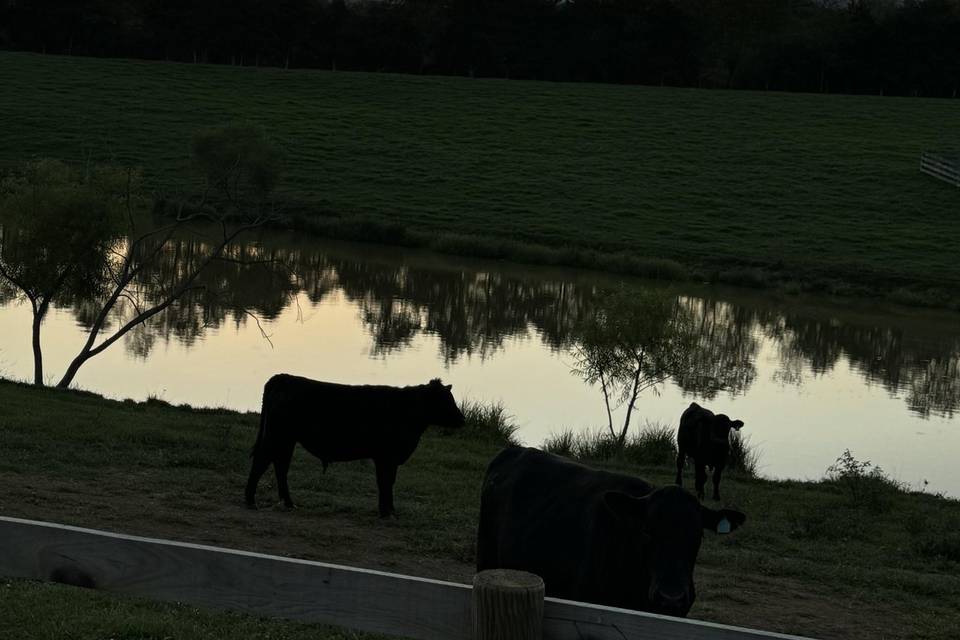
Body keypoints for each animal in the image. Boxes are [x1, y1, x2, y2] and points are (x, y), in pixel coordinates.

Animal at [244, 376, 462, 516]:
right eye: (446, 401)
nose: (462, 418)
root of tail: (283, 377)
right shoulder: (385, 457)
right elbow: (385, 482)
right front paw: (386, 511)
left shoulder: (389, 458)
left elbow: (388, 482)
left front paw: (389, 509)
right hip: (277, 436)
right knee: (262, 462)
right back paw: (250, 501)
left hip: (287, 440)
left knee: (280, 467)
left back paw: (289, 503)